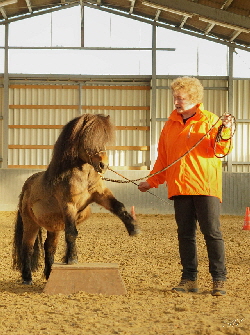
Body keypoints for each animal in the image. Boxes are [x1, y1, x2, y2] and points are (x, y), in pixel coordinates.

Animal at [12, 114, 139, 284]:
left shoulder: (100, 194)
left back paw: (49, 274)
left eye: (104, 139)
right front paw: (72, 259)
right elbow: (72, 232)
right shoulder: (69, 206)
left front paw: (133, 228)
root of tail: (26, 187)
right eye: (87, 138)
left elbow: (119, 207)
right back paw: (27, 278)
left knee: (49, 247)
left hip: (54, 226)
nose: (103, 165)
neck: (82, 176)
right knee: (28, 247)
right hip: (30, 223)